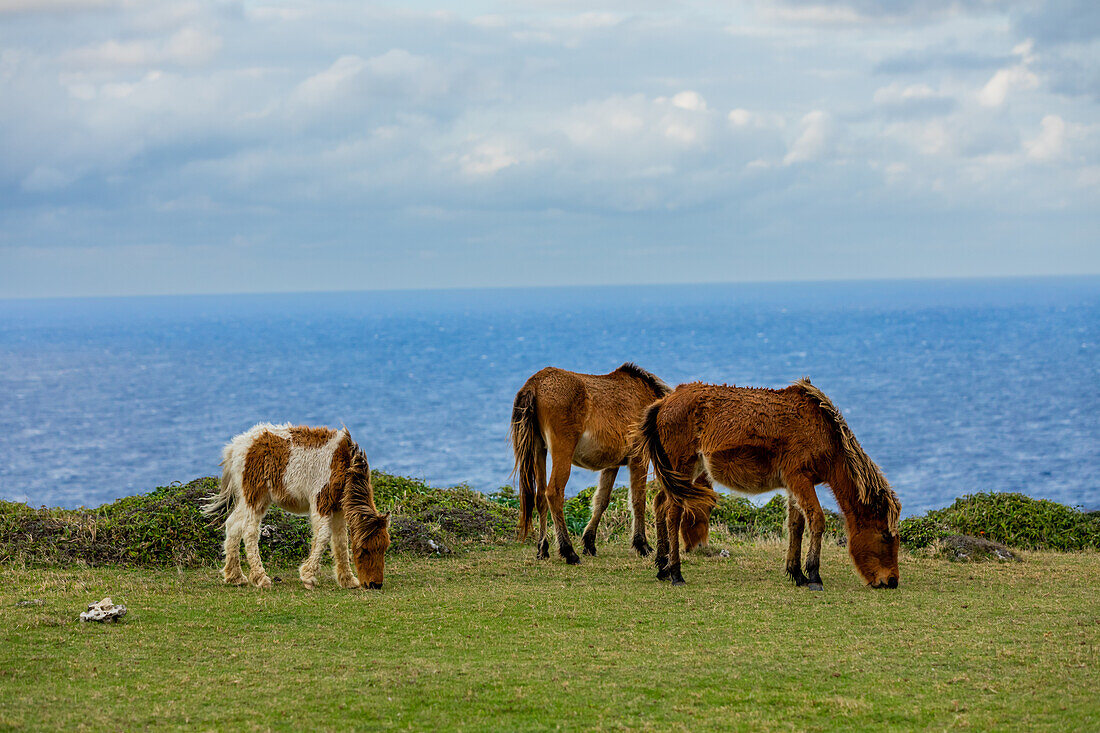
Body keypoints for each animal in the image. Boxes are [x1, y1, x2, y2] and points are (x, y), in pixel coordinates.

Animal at [202, 422, 391, 589]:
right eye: (365, 549)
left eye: (383, 548)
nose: (374, 584)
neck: (344, 464)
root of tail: (235, 447)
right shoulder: (321, 502)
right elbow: (323, 536)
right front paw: (308, 576)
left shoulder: (337, 508)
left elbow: (340, 542)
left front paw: (347, 580)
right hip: (254, 498)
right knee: (249, 533)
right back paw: (260, 578)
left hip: (250, 499)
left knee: (233, 526)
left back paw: (235, 577)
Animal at [510, 363, 708, 561]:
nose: (699, 545)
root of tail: (536, 384)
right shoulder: (639, 459)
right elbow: (638, 500)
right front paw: (642, 545)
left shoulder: (611, 465)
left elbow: (601, 501)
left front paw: (589, 543)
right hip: (562, 452)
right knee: (553, 493)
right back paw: (568, 551)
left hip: (538, 450)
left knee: (540, 497)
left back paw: (543, 549)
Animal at [638, 378, 902, 585]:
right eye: (885, 536)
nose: (891, 581)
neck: (824, 434)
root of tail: (664, 402)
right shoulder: (800, 479)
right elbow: (817, 520)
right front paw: (814, 575)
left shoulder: (794, 485)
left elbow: (796, 525)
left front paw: (797, 574)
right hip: (682, 467)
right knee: (673, 513)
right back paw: (675, 573)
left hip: (680, 473)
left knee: (660, 505)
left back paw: (662, 568)